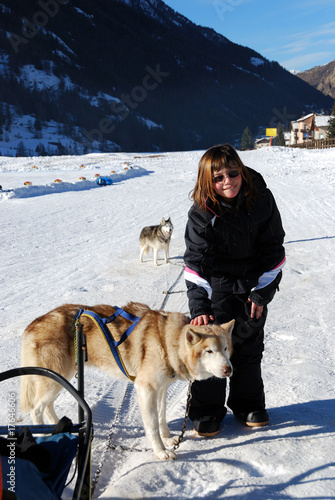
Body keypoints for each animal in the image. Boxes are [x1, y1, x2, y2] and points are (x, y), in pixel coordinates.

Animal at [20, 300, 234, 460]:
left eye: (225, 348)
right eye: (209, 351)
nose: (229, 370)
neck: (167, 341)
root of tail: (32, 325)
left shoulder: (161, 389)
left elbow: (161, 416)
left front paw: (167, 439)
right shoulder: (146, 388)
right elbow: (152, 424)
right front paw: (161, 451)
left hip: (59, 380)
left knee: (48, 407)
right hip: (54, 380)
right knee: (36, 409)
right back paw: (44, 435)